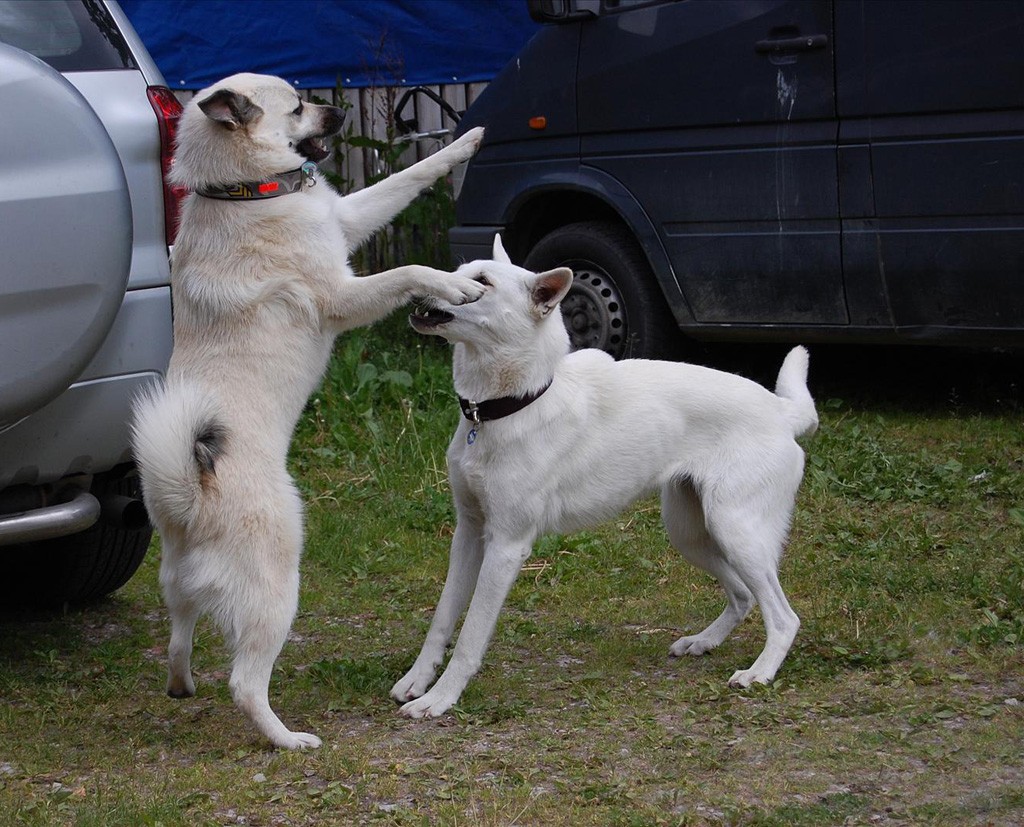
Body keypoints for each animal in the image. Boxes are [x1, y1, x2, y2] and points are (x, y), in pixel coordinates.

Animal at [131, 74, 487, 749]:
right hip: (277, 588)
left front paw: (465, 143)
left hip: (178, 588)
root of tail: (191, 495)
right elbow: (408, 270)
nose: (340, 110)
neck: (244, 193)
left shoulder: (347, 219)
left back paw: (180, 684)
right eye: (297, 107)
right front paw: (452, 284)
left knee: (177, 637)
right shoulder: (344, 295)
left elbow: (405, 179)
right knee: (245, 683)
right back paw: (288, 740)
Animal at [387, 232, 819, 716]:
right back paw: (703, 642)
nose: (420, 285)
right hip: (690, 533)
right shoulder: (468, 533)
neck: (507, 407)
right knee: (744, 597)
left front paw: (441, 699)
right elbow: (442, 620)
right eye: (458, 271)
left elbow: (470, 635)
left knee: (783, 617)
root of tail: (782, 412)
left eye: (481, 281)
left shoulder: (505, 547)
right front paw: (417, 680)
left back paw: (759, 673)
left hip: (736, 532)